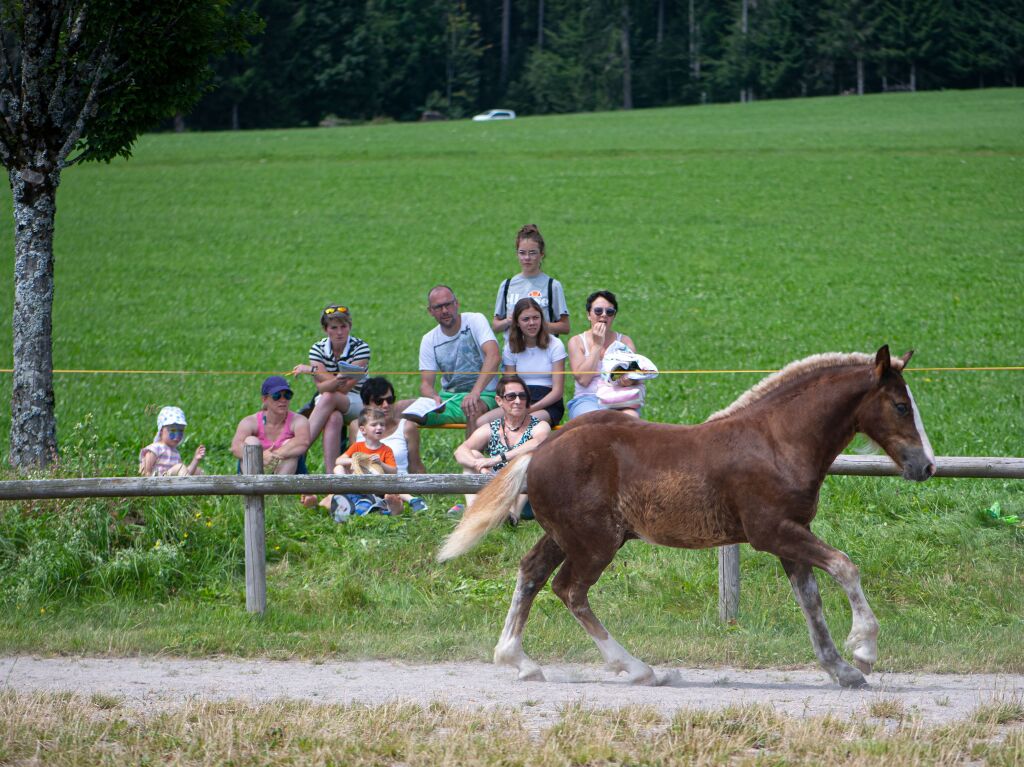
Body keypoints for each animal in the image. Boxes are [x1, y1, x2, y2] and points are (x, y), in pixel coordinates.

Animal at [440, 346, 937, 688]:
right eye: (900, 406)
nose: (926, 465)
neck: (778, 441)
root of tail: (539, 450)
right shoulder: (772, 532)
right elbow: (844, 566)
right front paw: (865, 650)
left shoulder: (792, 538)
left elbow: (811, 602)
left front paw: (841, 670)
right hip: (595, 542)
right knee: (570, 589)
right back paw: (639, 669)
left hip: (568, 535)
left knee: (531, 573)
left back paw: (519, 661)